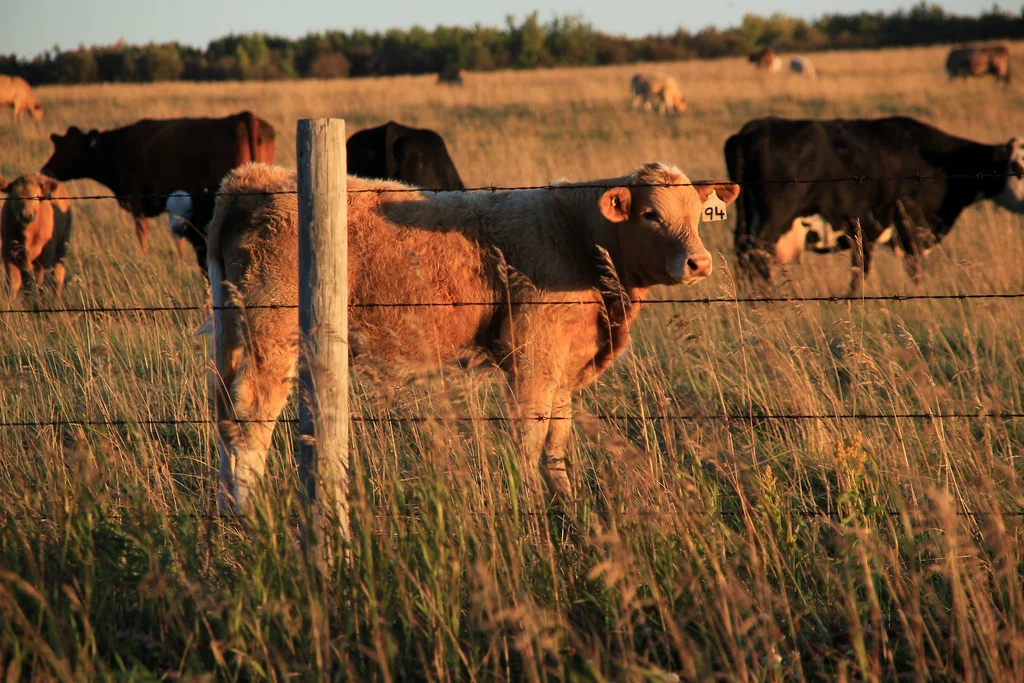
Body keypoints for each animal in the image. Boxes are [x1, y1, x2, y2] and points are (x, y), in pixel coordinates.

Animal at [40, 111, 276, 257]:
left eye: (68, 149)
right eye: (58, 146)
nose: (45, 170)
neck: (118, 148)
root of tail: (243, 116)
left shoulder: (136, 201)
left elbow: (141, 232)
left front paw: (143, 257)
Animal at [204, 161, 738, 514]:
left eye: (697, 213)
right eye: (651, 214)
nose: (699, 262)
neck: (578, 237)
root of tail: (257, 178)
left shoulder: (563, 366)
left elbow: (557, 443)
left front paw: (565, 506)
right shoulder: (532, 360)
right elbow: (530, 438)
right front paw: (529, 508)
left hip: (233, 330)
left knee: (226, 415)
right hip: (271, 334)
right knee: (250, 417)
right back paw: (245, 515)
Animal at [724, 116, 1024, 293]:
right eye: (1019, 167)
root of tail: (754, 127)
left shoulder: (867, 231)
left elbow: (860, 272)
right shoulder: (911, 227)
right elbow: (912, 272)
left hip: (747, 220)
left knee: (743, 258)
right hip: (775, 219)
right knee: (756, 258)